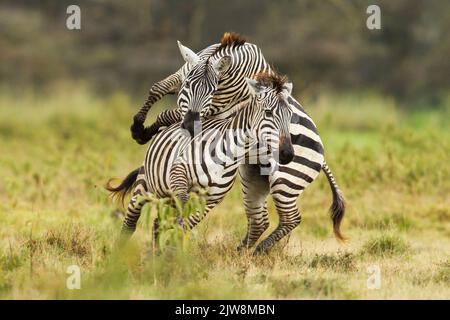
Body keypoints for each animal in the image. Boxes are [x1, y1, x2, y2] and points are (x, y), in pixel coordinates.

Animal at [106, 72, 296, 252]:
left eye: (290, 117)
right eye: (268, 113)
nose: (287, 154)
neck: (229, 154)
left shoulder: (210, 200)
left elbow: (184, 225)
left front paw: (169, 252)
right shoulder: (179, 173)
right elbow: (181, 212)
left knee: (156, 224)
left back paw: (154, 253)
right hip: (145, 184)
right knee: (131, 222)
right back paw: (118, 254)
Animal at [128, 32, 346, 252]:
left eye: (212, 90)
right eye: (188, 85)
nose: (190, 126)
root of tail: (321, 154)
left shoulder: (218, 108)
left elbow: (168, 113)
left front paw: (146, 131)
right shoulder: (185, 73)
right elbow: (158, 88)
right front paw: (140, 128)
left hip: (285, 181)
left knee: (290, 218)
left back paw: (255, 251)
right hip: (255, 176)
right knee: (261, 220)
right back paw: (241, 252)